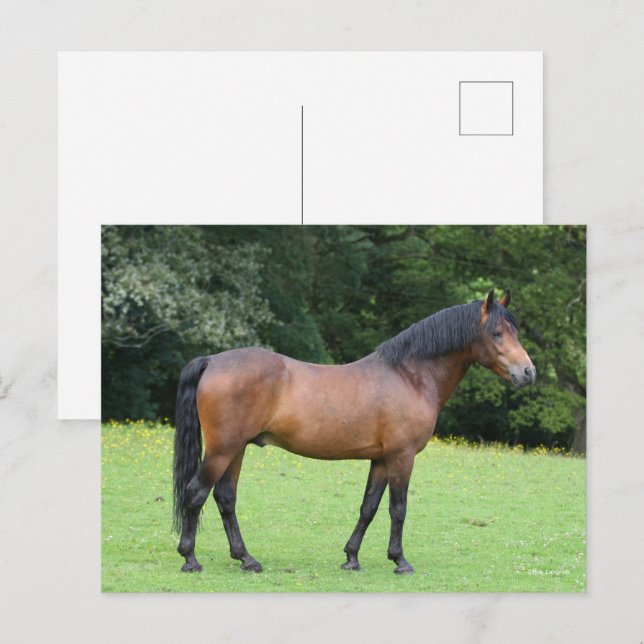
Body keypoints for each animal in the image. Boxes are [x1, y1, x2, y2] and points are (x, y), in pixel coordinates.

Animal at [172, 288, 536, 575]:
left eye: (514, 331)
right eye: (497, 333)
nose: (528, 372)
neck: (410, 376)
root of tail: (213, 360)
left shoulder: (381, 460)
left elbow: (368, 508)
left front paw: (351, 558)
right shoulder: (402, 457)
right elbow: (398, 509)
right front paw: (400, 561)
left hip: (236, 449)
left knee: (225, 498)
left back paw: (246, 559)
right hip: (223, 449)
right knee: (196, 493)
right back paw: (190, 559)